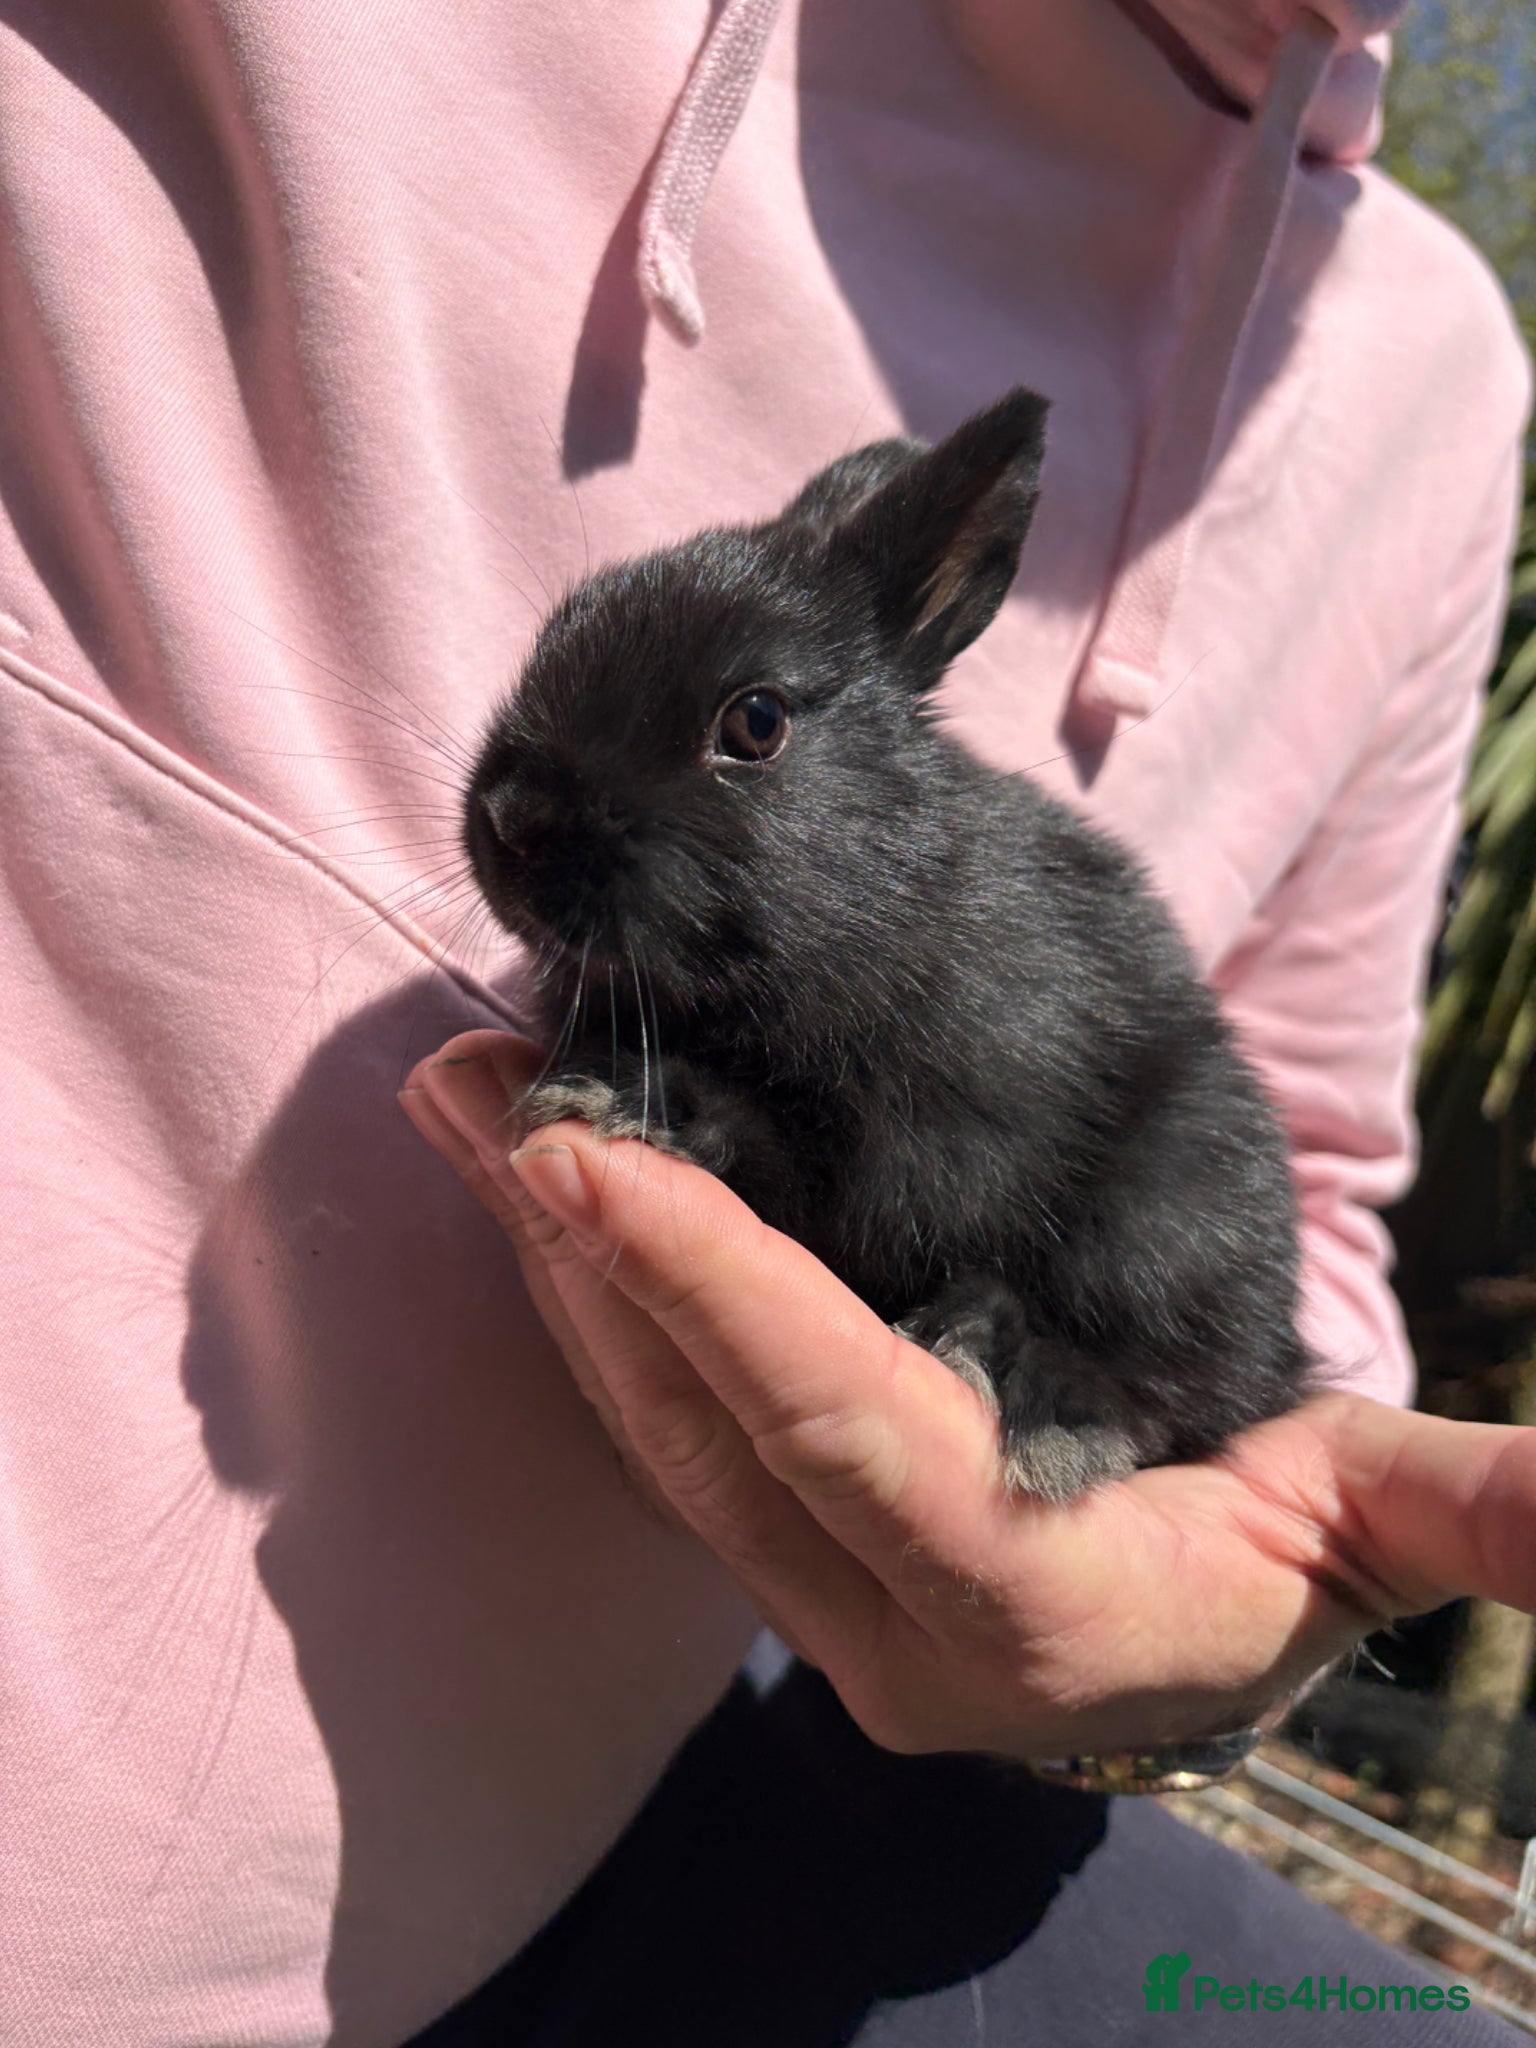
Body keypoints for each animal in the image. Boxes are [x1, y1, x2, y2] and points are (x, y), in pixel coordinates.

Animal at [461, 389, 1311, 1501]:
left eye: (757, 720)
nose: (513, 817)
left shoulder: (924, 1147)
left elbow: (806, 1167)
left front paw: (626, 1096)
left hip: (1178, 1208)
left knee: (1185, 1376)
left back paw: (1026, 1388)